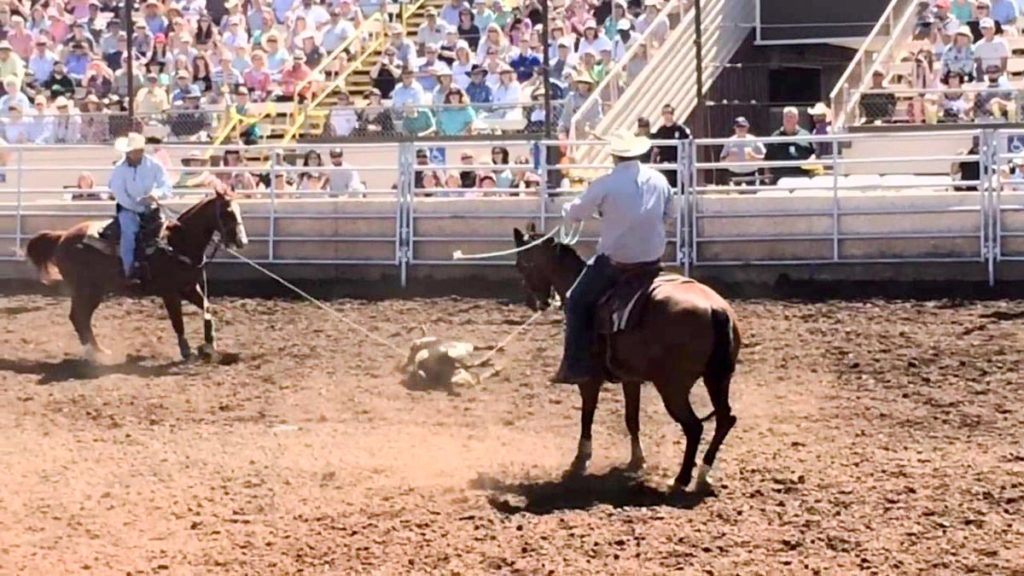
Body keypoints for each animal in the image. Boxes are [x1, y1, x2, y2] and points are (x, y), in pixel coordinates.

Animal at [24, 188, 248, 358]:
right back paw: (95, 352)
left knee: (80, 318)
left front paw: (209, 345)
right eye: (227, 211)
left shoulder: (189, 287)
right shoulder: (169, 292)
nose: (242, 241)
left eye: (239, 210)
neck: (177, 243)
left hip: (93, 291)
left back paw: (98, 350)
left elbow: (208, 308)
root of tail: (62, 237)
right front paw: (186, 351)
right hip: (86, 290)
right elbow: (177, 321)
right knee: (78, 316)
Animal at [512, 226, 745, 491]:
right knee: (725, 419)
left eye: (521, 263)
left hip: (673, 387)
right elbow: (631, 418)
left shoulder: (589, 380)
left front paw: (581, 459)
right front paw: (637, 459)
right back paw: (703, 474)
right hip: (717, 379)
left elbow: (587, 415)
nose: (534, 302)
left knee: (694, 426)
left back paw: (681, 478)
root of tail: (715, 309)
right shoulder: (630, 378)